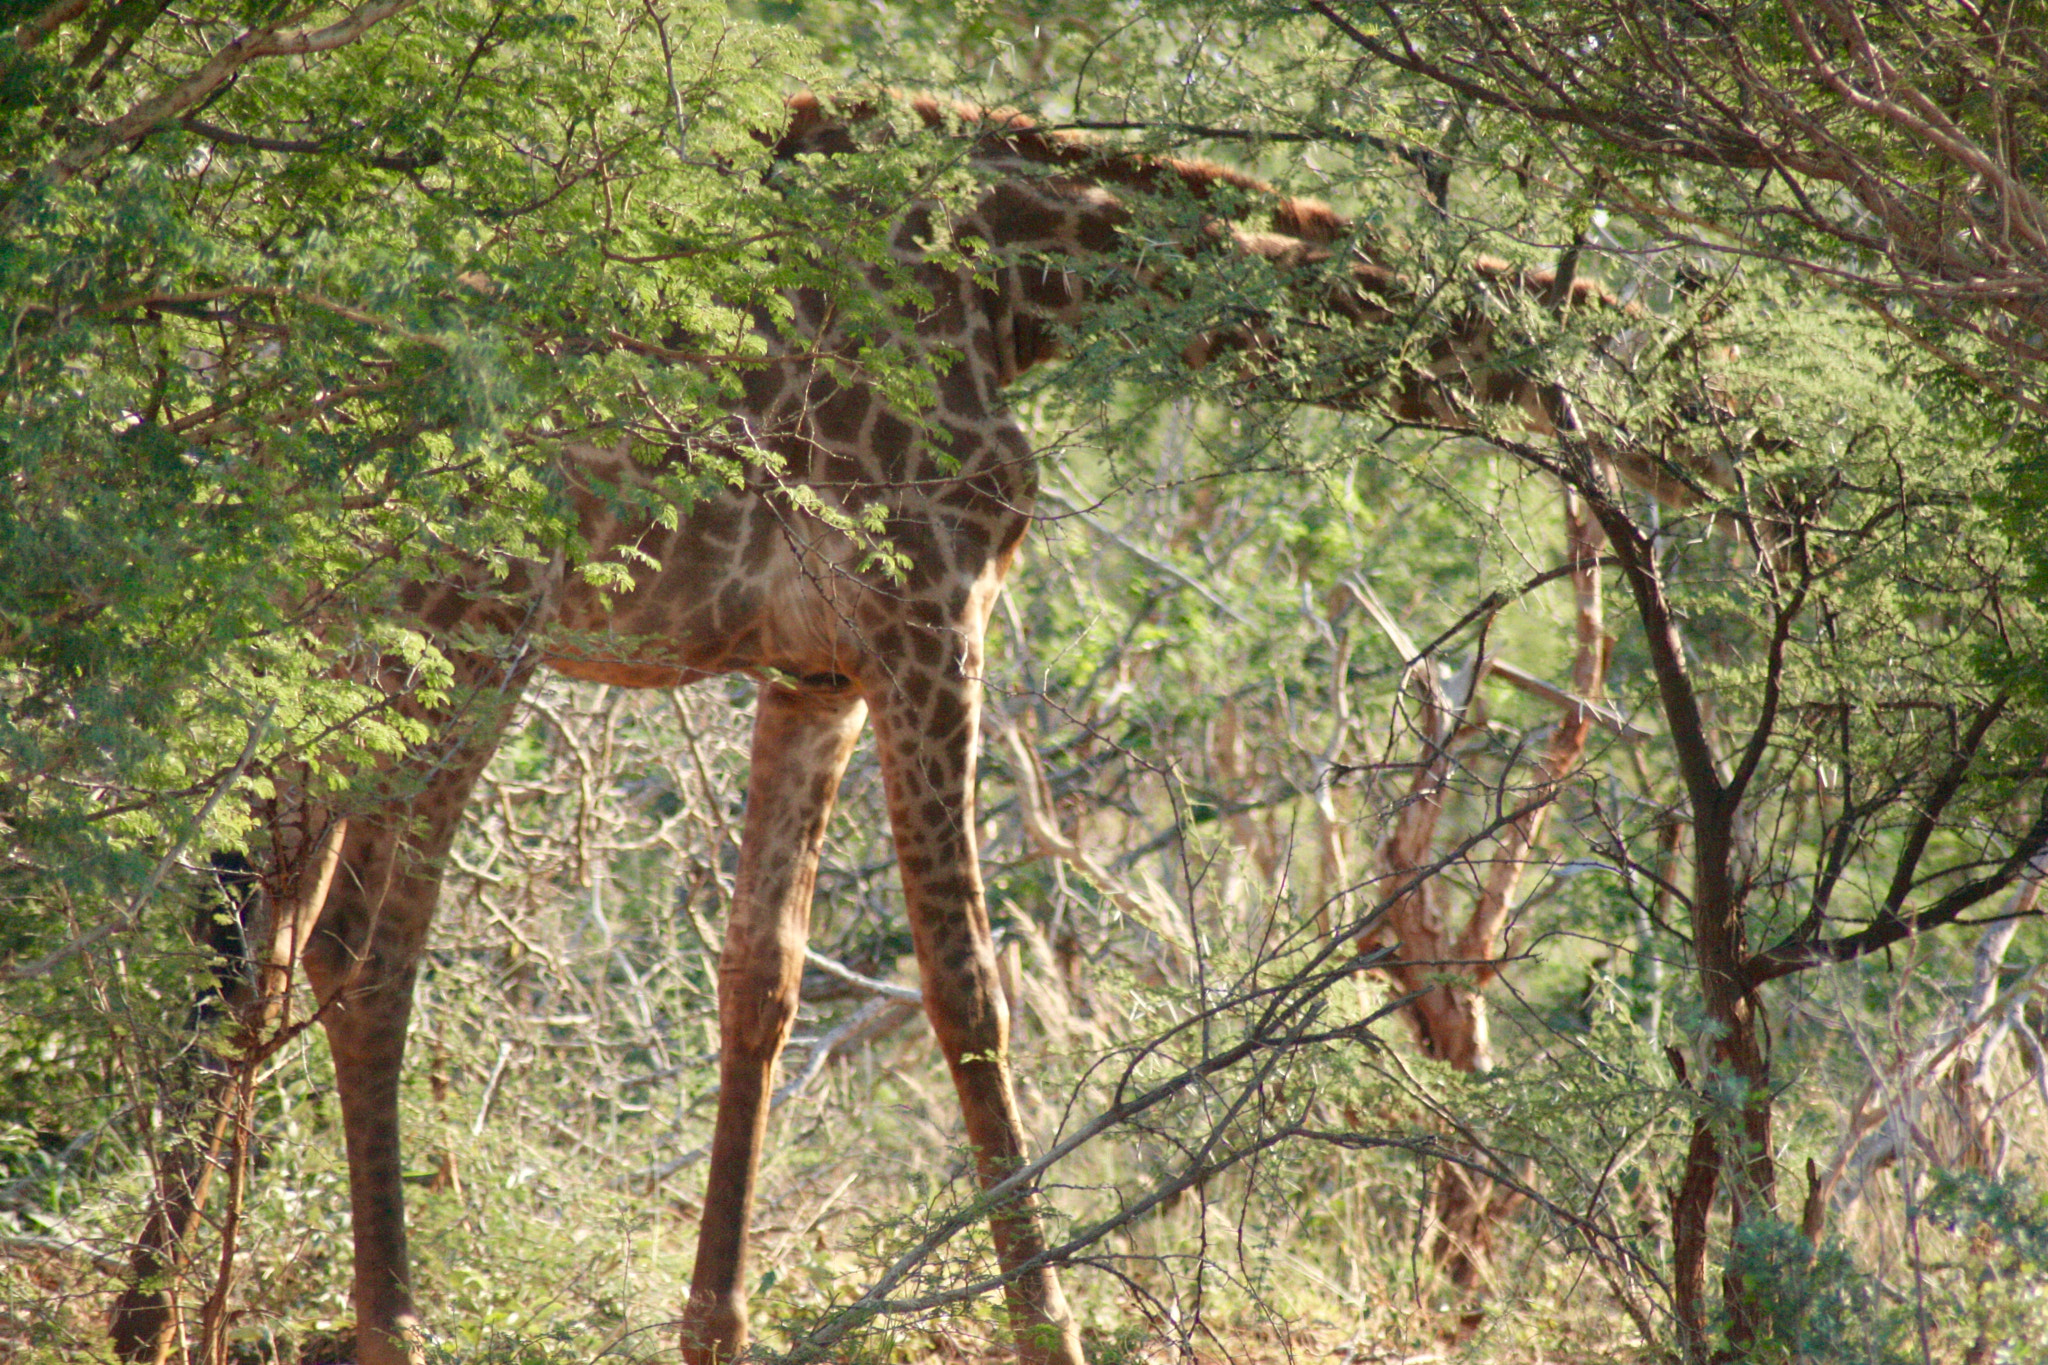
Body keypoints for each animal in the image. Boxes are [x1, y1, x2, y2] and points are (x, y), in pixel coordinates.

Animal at [114, 91, 1722, 1365]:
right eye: (1704, 387)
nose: (1722, 476)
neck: (1026, 287)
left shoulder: (811, 671)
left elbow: (760, 982)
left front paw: (718, 1327)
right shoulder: (930, 608)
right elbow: (967, 983)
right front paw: (1047, 1325)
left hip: (326, 649)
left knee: (251, 944)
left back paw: (157, 1320)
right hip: (469, 633)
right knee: (361, 951)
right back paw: (387, 1321)